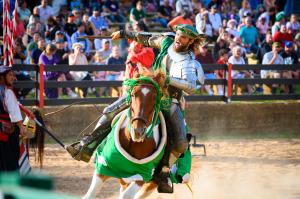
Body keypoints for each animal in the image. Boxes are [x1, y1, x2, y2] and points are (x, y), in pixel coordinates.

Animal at [83, 69, 168, 198]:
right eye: (133, 94)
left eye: (154, 97)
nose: (138, 131)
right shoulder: (103, 167)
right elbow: (89, 195)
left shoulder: (142, 175)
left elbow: (127, 195)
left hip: (150, 183)